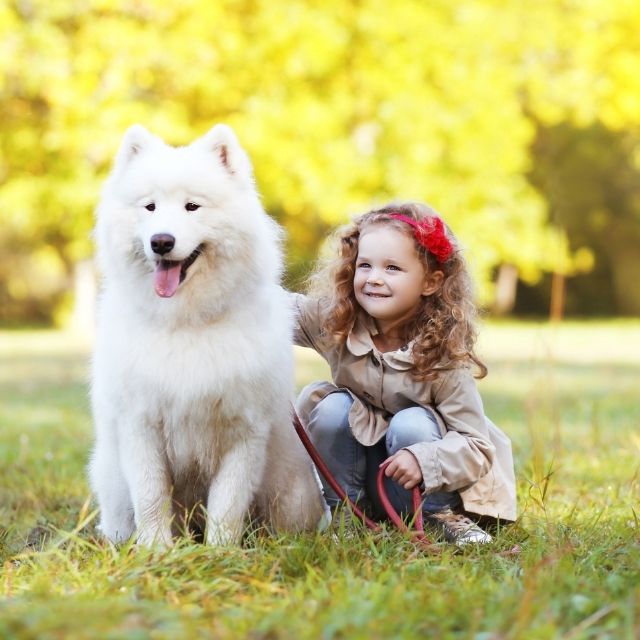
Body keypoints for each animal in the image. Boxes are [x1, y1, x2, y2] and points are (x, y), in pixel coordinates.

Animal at [89, 124, 328, 544]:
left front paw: (221, 550)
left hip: (294, 493)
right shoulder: (140, 425)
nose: (161, 241)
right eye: (150, 207)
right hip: (112, 486)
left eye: (192, 207)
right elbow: (151, 496)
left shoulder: (244, 431)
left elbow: (227, 504)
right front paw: (157, 550)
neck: (187, 322)